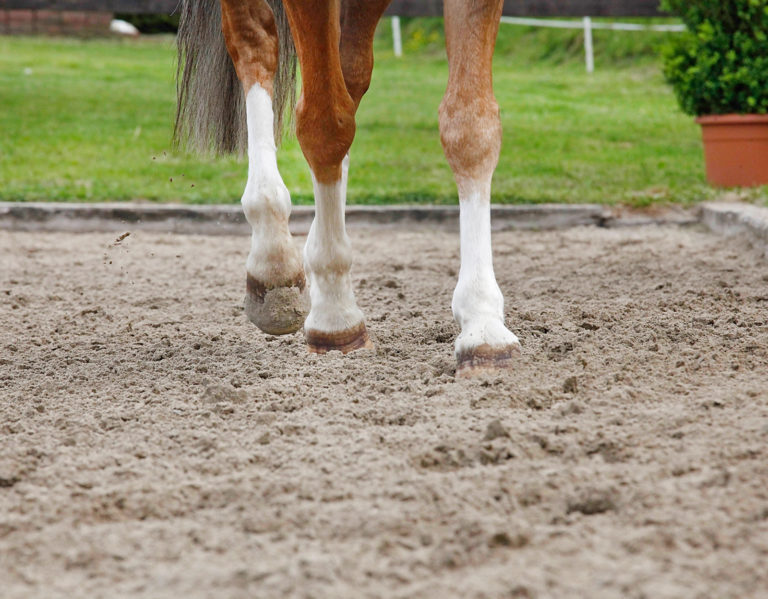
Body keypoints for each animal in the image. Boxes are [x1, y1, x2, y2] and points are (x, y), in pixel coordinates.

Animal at [176, 0, 520, 376]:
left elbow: (471, 128)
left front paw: (483, 323)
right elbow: (326, 125)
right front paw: (334, 315)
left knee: (350, 71)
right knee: (255, 40)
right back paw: (274, 265)